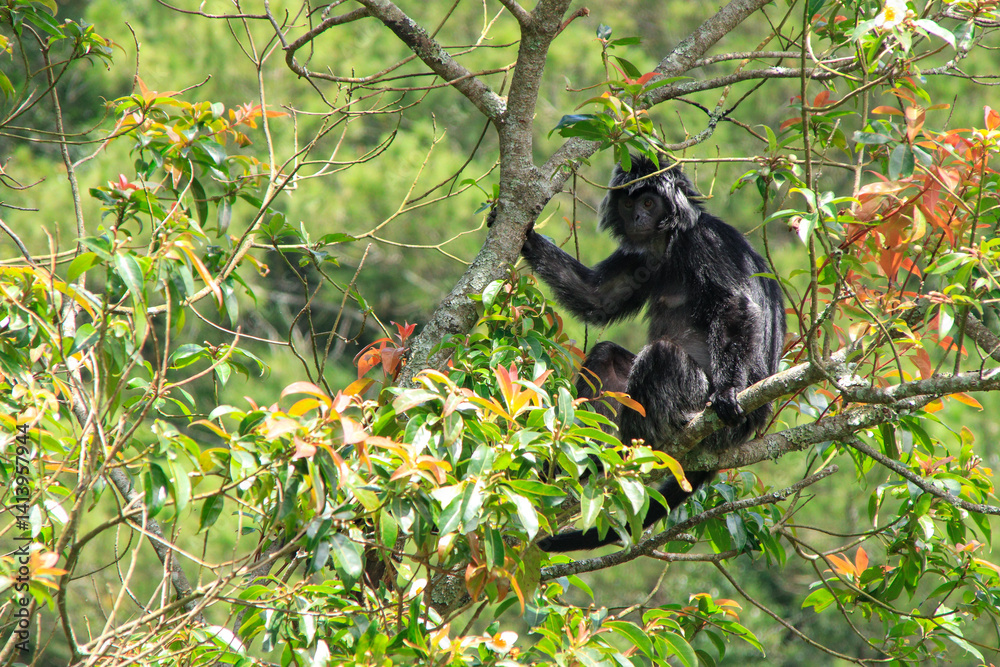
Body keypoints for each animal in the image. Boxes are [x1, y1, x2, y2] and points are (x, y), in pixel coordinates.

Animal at [521, 155, 785, 552]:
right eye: (629, 205)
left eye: (649, 203)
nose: (637, 219)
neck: (672, 244)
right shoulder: (641, 258)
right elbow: (597, 298)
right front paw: (524, 235)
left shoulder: (707, 244)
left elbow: (733, 307)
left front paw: (728, 392)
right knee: (607, 357)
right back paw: (591, 458)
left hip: (704, 407)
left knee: (663, 355)